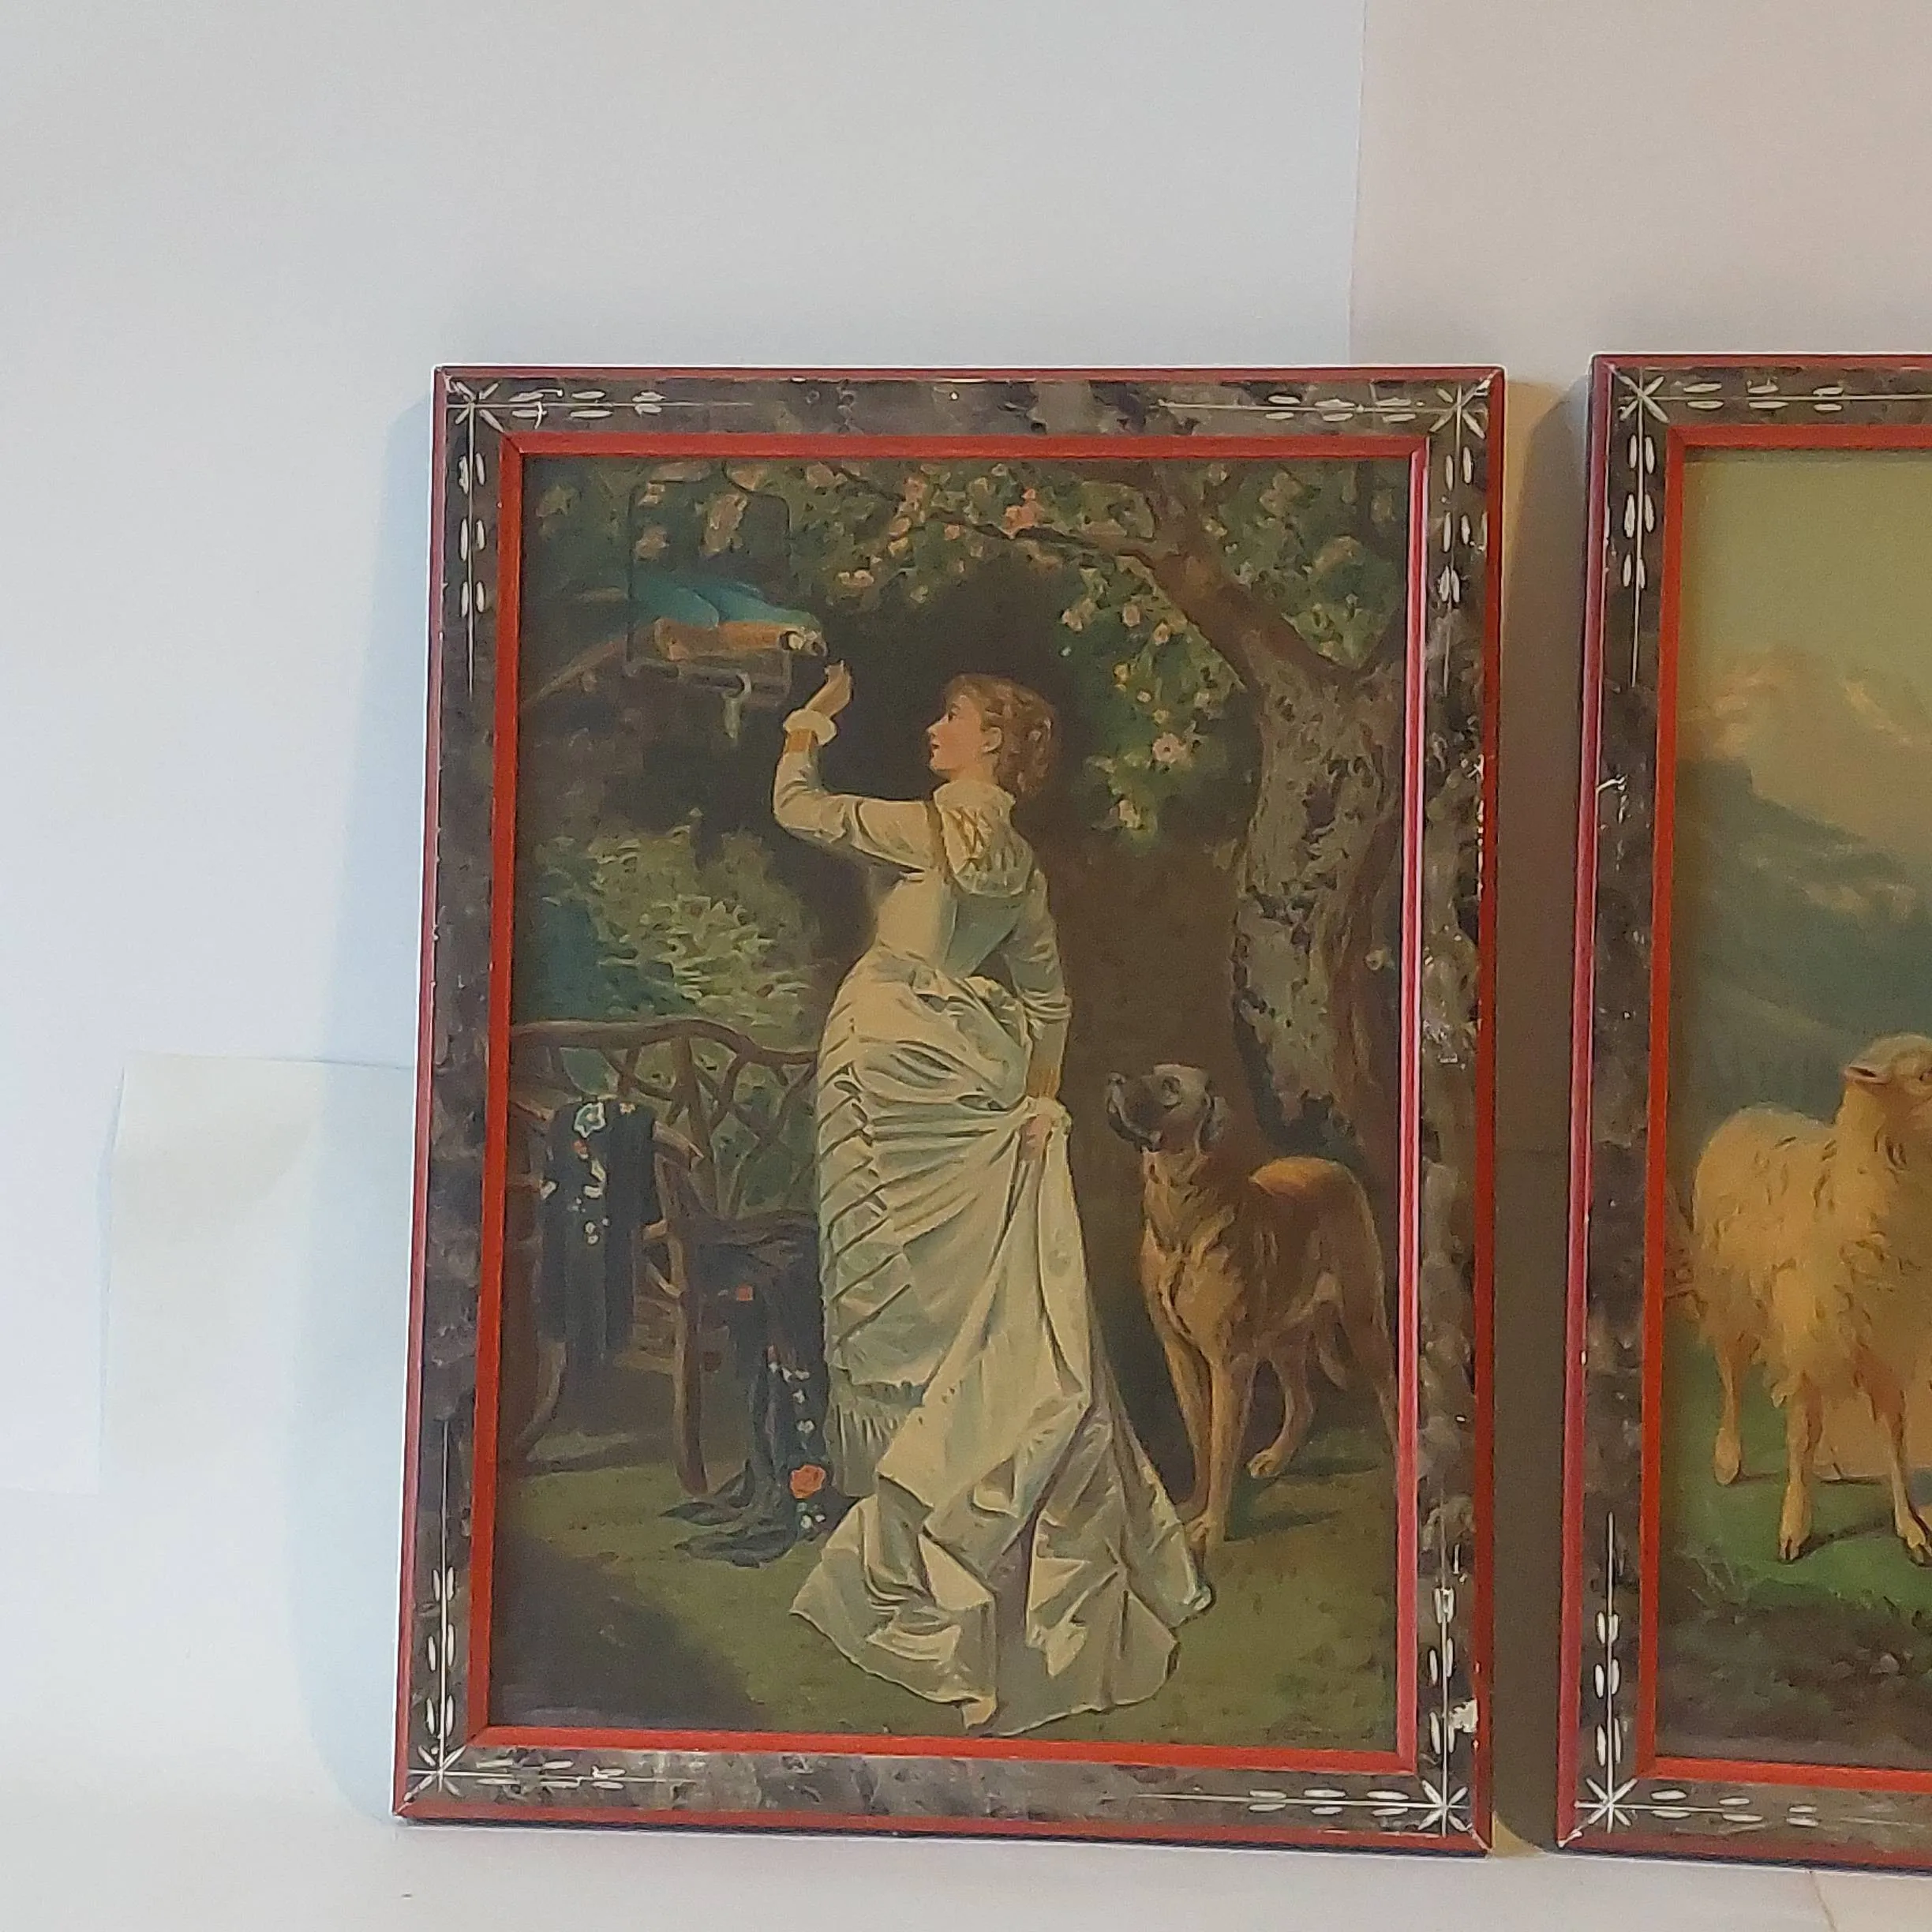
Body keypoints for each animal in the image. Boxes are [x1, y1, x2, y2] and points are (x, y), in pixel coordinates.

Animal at [1105, 1065, 1400, 1567]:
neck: (1182, 1218)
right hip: (1282, 1338)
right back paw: (1278, 1456)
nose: (1117, 1081)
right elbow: (1200, 1438)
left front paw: (1212, 1528)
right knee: (1302, 1402)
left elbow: (1222, 1446)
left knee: (1388, 1391)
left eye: (1170, 1087)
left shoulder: (1230, 1367)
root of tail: (1330, 1164)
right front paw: (1194, 1505)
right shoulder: (1179, 1356)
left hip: (1362, 1320)